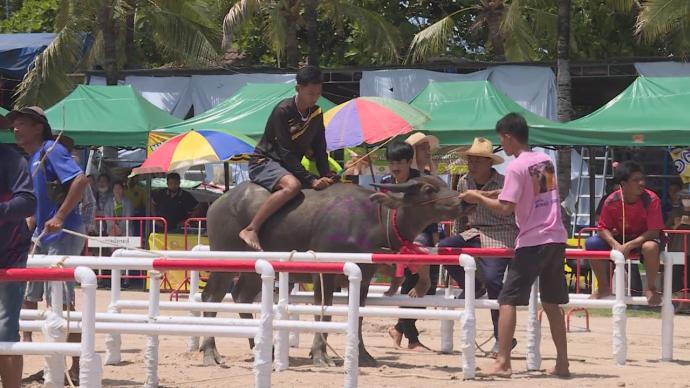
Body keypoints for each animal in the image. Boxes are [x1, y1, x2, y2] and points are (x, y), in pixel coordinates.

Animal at [199, 176, 462, 366]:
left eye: (442, 182)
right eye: (428, 189)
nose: (464, 201)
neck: (373, 220)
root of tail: (217, 204)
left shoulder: (364, 277)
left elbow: (357, 316)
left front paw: (363, 356)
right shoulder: (324, 273)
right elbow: (322, 312)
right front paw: (319, 354)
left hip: (253, 271)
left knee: (241, 296)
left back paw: (264, 349)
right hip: (224, 262)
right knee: (211, 297)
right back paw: (210, 353)